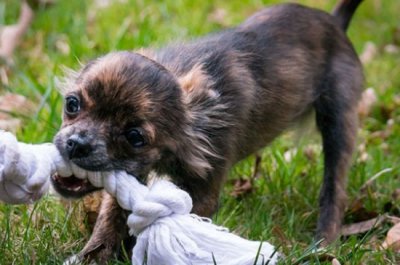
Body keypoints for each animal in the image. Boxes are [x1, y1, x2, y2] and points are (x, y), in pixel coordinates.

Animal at [51, 0, 364, 262]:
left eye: (134, 137)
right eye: (72, 104)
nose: (77, 144)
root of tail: (335, 23)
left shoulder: (203, 192)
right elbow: (110, 219)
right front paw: (92, 256)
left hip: (339, 123)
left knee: (334, 189)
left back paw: (323, 244)